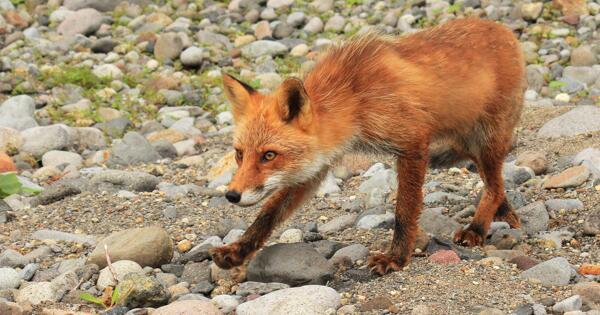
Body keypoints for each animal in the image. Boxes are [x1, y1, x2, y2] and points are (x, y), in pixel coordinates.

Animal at [211, 18, 524, 276]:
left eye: (269, 155)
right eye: (239, 154)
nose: (232, 195)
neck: (354, 98)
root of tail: (504, 29)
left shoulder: (412, 143)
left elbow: (404, 211)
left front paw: (396, 257)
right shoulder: (315, 167)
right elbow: (268, 214)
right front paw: (238, 250)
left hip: (486, 140)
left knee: (494, 186)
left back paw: (478, 227)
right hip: (469, 143)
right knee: (496, 183)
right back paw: (504, 213)